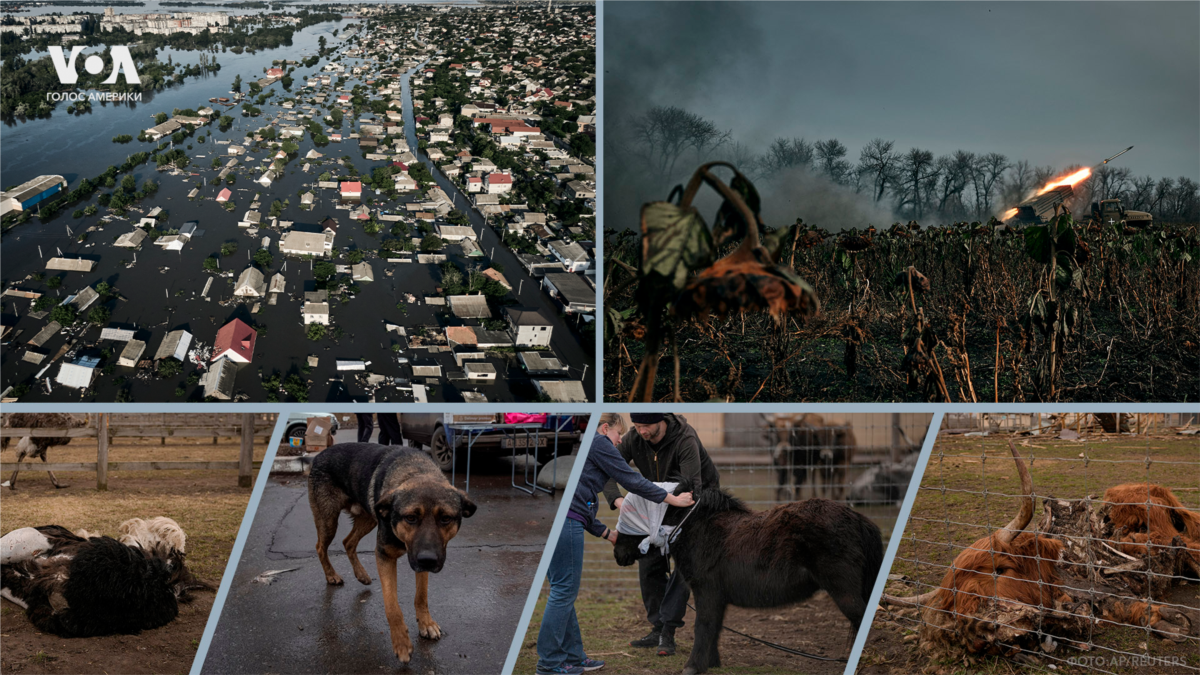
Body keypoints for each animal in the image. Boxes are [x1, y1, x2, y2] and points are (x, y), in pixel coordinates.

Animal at [307, 441, 475, 662]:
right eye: (411, 518)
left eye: (446, 518)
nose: (428, 560)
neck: (415, 471)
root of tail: (320, 454)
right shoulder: (385, 556)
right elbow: (392, 606)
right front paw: (401, 643)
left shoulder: (420, 561)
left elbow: (421, 596)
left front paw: (426, 623)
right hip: (329, 521)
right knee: (320, 547)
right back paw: (331, 575)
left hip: (368, 518)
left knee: (348, 542)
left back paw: (361, 574)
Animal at [619, 480, 883, 667]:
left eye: (634, 515)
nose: (618, 552)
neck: (698, 529)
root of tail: (858, 519)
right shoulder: (717, 598)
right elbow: (713, 628)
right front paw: (711, 663)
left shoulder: (707, 593)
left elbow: (703, 627)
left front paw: (693, 666)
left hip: (845, 593)